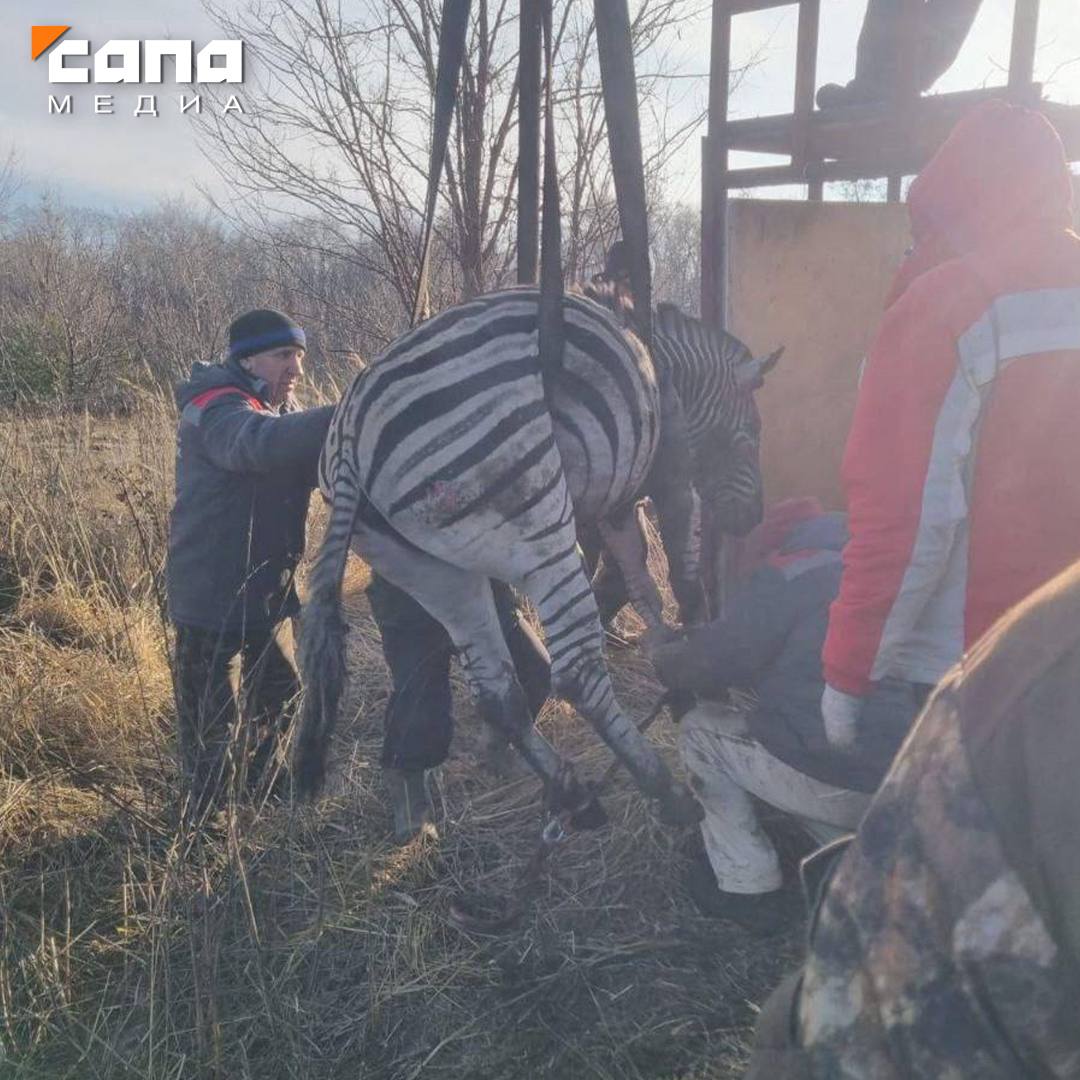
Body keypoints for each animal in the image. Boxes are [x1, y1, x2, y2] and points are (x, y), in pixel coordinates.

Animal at [295, 282, 777, 820]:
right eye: (752, 433)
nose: (751, 519)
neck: (663, 365)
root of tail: (348, 442)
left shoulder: (617, 504)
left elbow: (640, 581)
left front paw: (667, 655)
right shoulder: (670, 475)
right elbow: (682, 580)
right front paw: (698, 677)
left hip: (434, 573)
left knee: (496, 691)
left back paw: (571, 794)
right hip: (541, 531)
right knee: (576, 674)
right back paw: (665, 791)